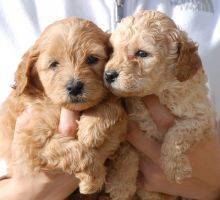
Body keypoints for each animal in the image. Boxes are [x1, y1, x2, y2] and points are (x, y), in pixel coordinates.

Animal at [0, 17, 127, 195]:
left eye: (92, 59)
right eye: (54, 64)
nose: (74, 87)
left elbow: (111, 102)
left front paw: (91, 128)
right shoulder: (30, 142)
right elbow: (76, 152)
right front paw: (93, 178)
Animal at [104, 10, 217, 200]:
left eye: (142, 53)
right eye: (112, 51)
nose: (108, 75)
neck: (158, 92)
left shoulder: (203, 118)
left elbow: (178, 132)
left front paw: (175, 168)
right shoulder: (129, 125)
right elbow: (126, 154)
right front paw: (121, 185)